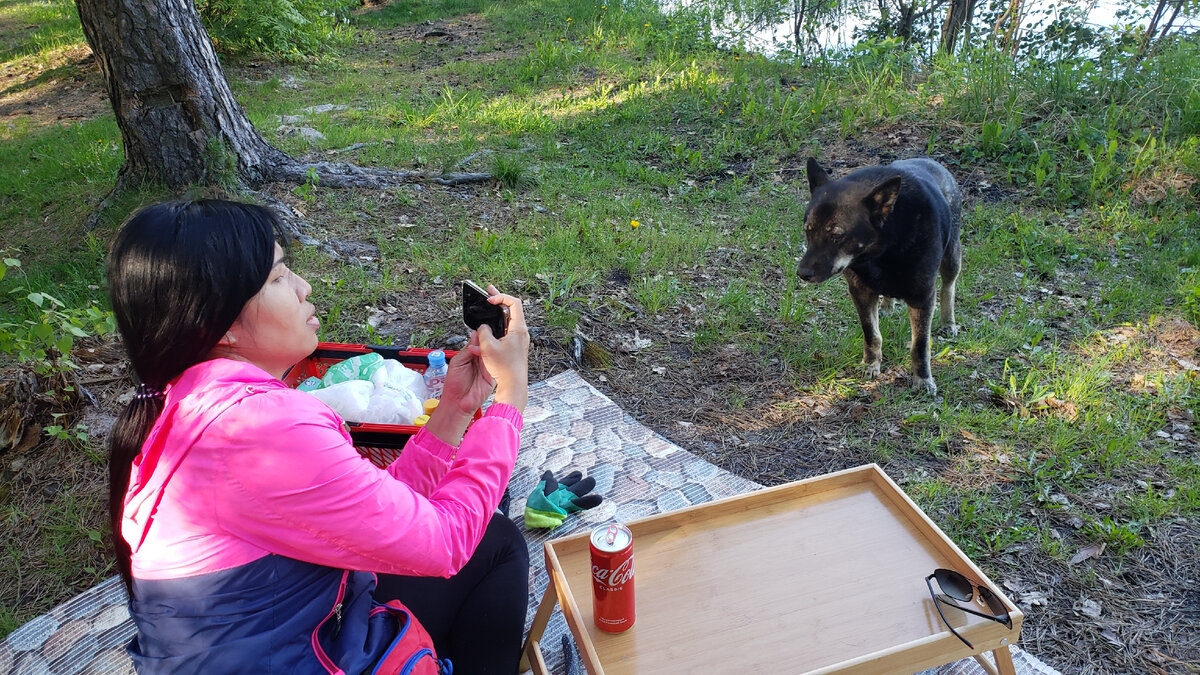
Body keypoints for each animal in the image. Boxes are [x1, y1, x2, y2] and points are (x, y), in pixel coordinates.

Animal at [801, 157, 960, 393]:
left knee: (948, 286)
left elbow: (920, 345)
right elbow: (871, 333)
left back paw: (948, 321)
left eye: (837, 235)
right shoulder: (860, 292)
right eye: (808, 230)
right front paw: (871, 364)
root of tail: (930, 160)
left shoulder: (922, 297)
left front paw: (922, 379)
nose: (802, 273)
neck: (883, 250)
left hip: (951, 256)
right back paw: (887, 306)